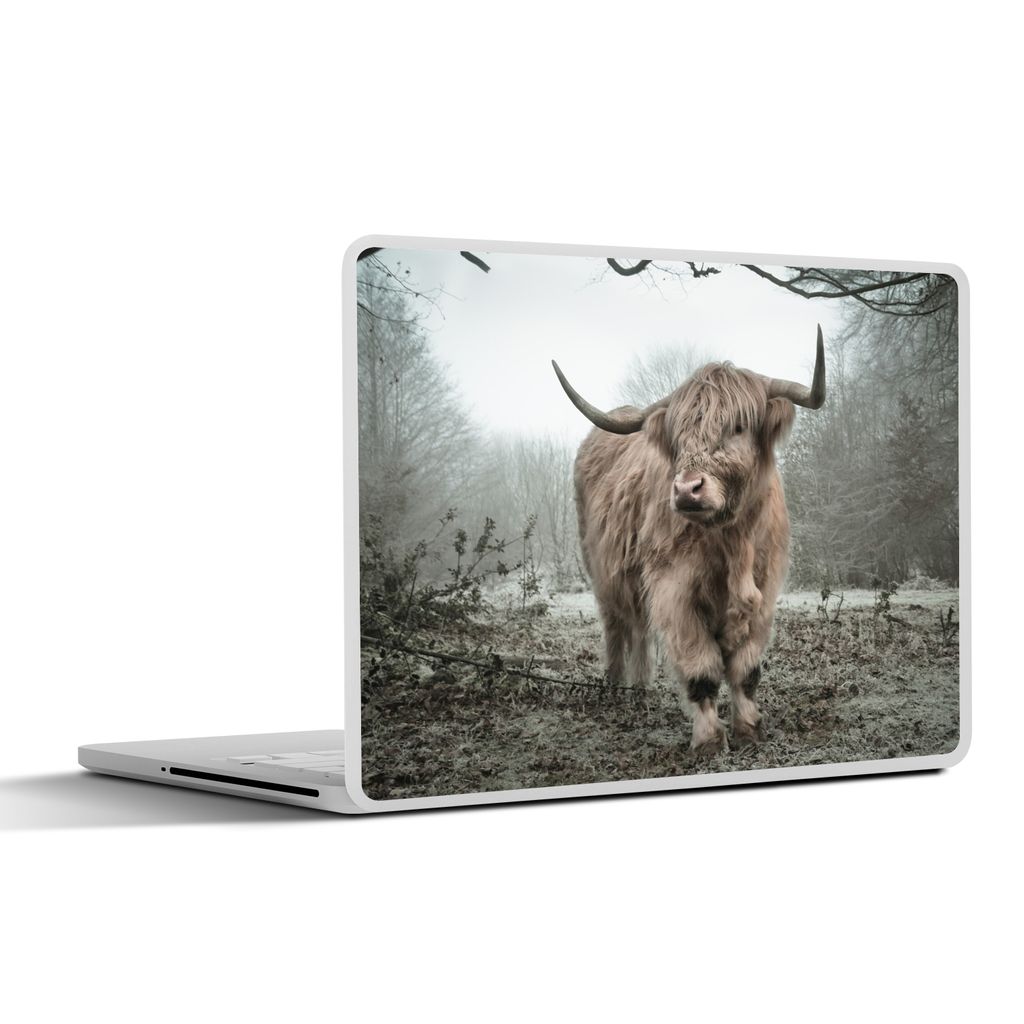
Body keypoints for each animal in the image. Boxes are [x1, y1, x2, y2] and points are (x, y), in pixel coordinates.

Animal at [552, 328, 826, 756]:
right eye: (678, 435)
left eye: (738, 426)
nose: (686, 490)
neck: (732, 543)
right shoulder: (674, 592)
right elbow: (702, 670)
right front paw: (709, 740)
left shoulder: (765, 592)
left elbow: (746, 670)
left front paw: (749, 730)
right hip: (602, 574)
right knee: (617, 628)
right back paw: (615, 688)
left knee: (639, 631)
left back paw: (640, 691)